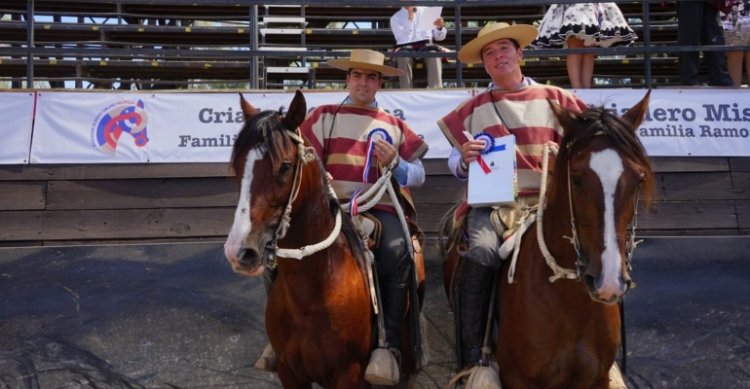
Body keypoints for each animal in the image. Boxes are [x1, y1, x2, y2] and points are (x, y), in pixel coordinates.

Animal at [223, 89, 424, 386]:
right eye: (237, 166)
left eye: (284, 167)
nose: (239, 250)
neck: (311, 293)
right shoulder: (289, 372)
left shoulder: (347, 373)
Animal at [444, 91, 656, 388]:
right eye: (576, 178)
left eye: (638, 178)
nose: (608, 282)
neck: (571, 305)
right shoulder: (518, 379)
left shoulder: (597, 379)